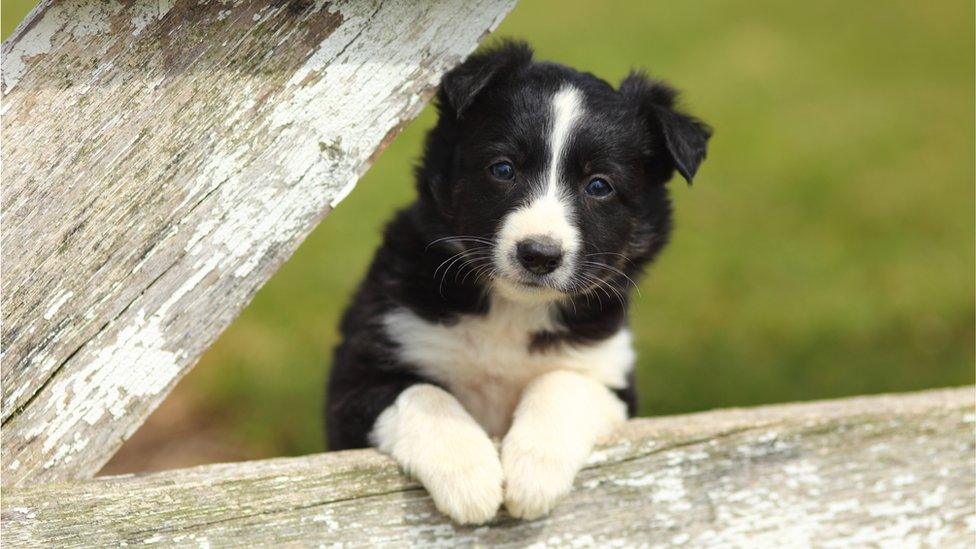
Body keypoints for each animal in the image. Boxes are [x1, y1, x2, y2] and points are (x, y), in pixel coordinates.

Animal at [328, 41, 708, 524]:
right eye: (503, 169)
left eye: (599, 186)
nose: (539, 255)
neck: (512, 309)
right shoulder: (357, 376)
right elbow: (424, 393)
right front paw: (468, 475)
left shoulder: (611, 375)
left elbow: (562, 383)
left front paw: (533, 474)